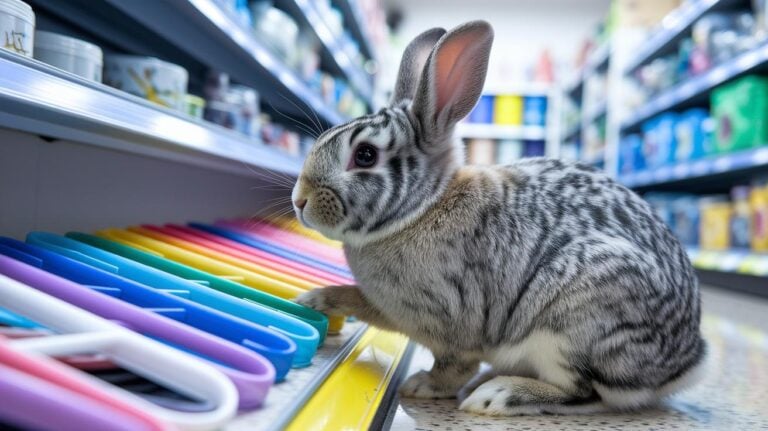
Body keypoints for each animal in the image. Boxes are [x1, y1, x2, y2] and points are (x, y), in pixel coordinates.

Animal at [292, 20, 707, 416]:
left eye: (364, 155)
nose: (299, 200)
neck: (422, 208)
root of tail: (684, 364)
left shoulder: (453, 322)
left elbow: (454, 365)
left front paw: (424, 385)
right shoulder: (393, 308)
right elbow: (358, 299)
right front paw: (315, 300)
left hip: (575, 326)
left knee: (586, 393)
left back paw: (496, 395)